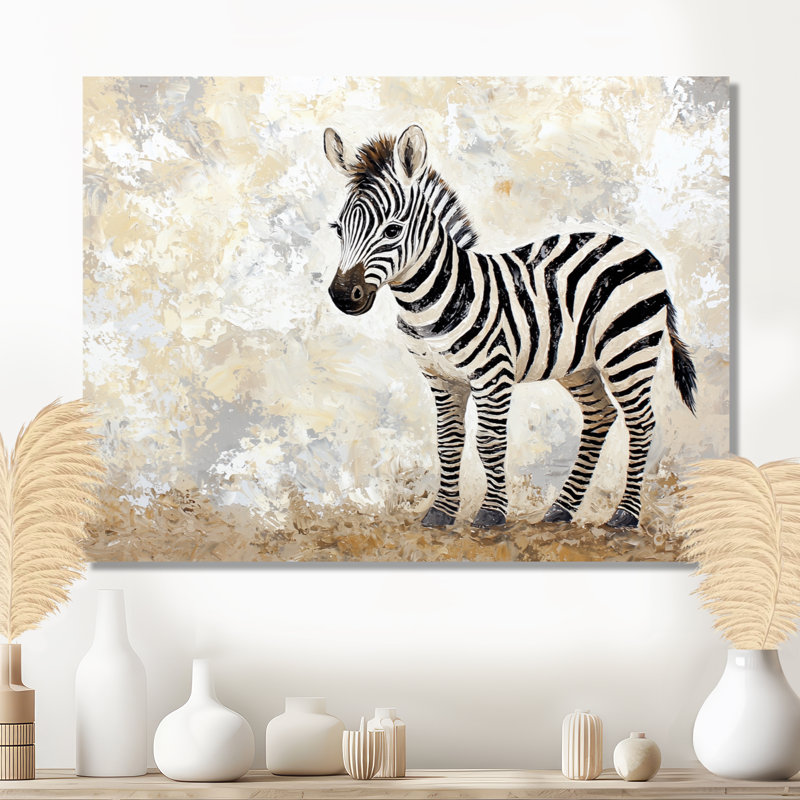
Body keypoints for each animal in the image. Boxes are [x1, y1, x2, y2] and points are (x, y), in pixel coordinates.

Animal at [323, 124, 697, 530]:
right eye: (338, 229)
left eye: (392, 230)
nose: (342, 296)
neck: (434, 301)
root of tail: (639, 248)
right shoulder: (440, 378)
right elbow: (448, 442)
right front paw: (441, 512)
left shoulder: (493, 373)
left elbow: (490, 442)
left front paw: (490, 512)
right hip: (579, 364)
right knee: (601, 415)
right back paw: (561, 508)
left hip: (628, 349)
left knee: (640, 422)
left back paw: (625, 515)